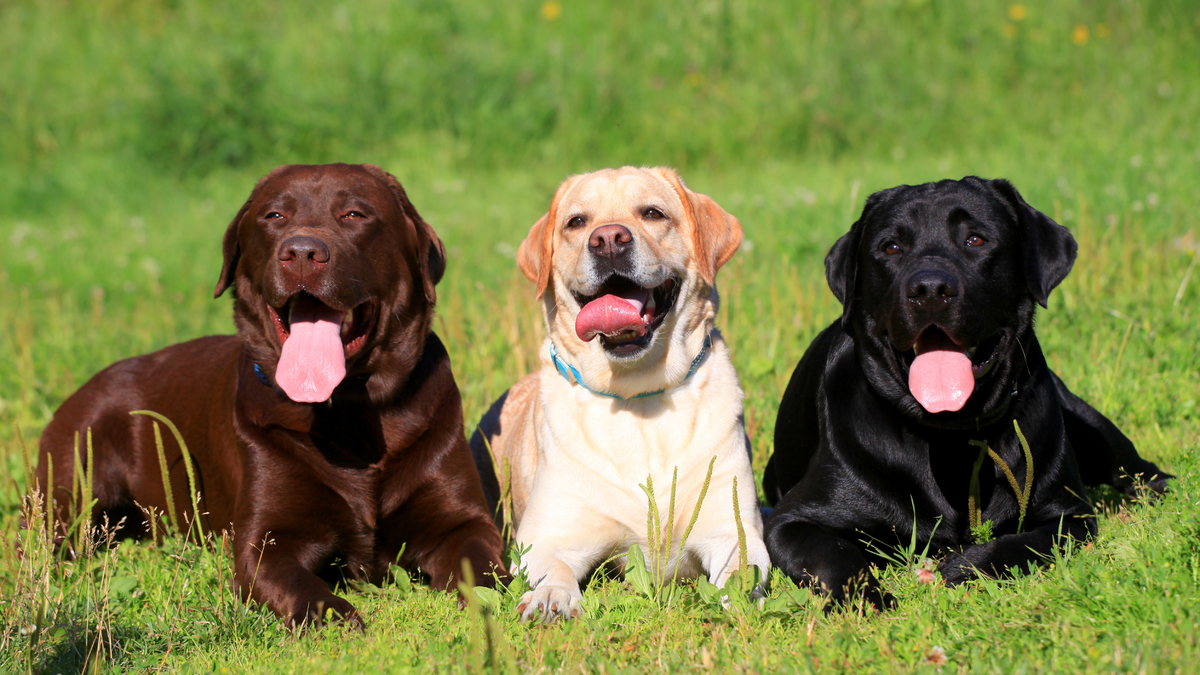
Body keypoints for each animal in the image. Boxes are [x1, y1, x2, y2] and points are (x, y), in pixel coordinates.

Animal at [37, 163, 506, 624]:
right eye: (274, 216)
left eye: (354, 214)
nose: (301, 252)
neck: (349, 413)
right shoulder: (265, 539)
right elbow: (298, 584)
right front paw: (333, 615)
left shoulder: (464, 521)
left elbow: (483, 567)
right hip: (72, 495)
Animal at [468, 166, 768, 619]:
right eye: (576, 222)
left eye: (653, 213)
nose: (608, 239)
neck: (637, 396)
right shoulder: (546, 536)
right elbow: (554, 567)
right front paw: (551, 597)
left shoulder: (731, 526)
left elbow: (740, 569)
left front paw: (737, 600)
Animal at [763, 174, 1166, 605]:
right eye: (891, 247)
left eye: (975, 239)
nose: (930, 289)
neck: (950, 437)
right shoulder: (792, 520)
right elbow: (835, 555)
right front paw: (869, 599)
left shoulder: (1069, 514)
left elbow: (1016, 543)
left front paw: (961, 566)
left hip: (1090, 425)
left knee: (1141, 470)